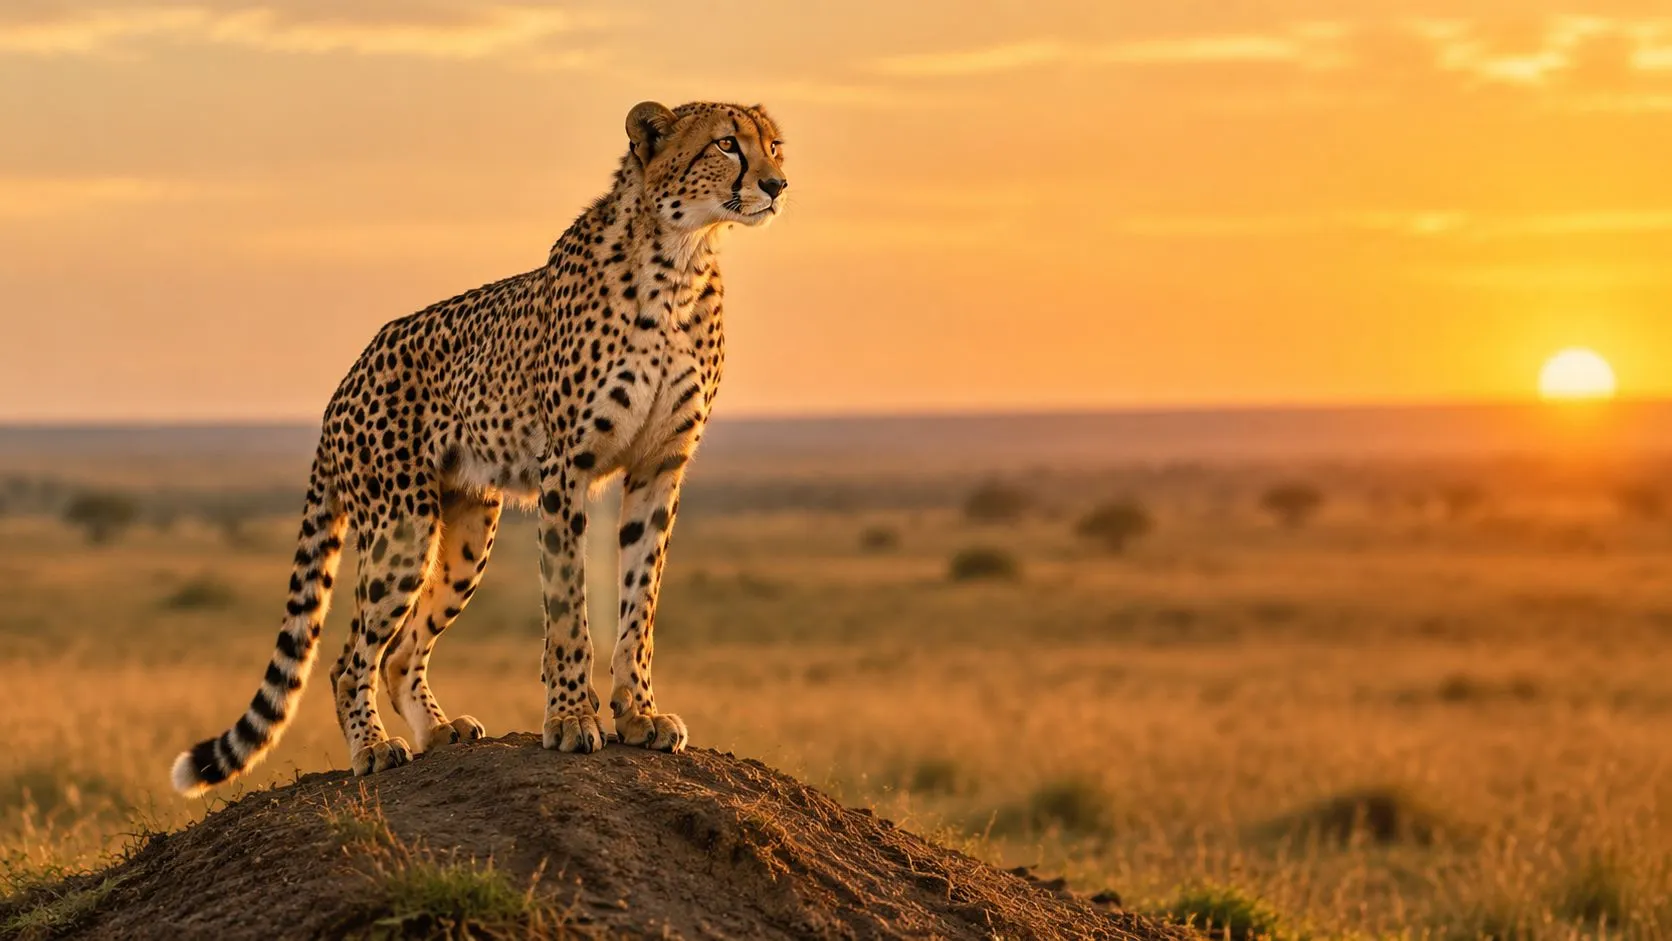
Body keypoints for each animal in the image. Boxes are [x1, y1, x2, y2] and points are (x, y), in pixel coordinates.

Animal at [171, 100, 787, 795]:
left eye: (774, 145)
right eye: (727, 145)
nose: (776, 185)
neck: (679, 258)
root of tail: (345, 379)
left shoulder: (659, 467)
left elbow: (641, 599)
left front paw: (638, 713)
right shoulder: (565, 466)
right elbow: (568, 605)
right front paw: (571, 718)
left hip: (468, 531)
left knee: (400, 651)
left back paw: (437, 731)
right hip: (402, 526)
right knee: (349, 658)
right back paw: (373, 749)